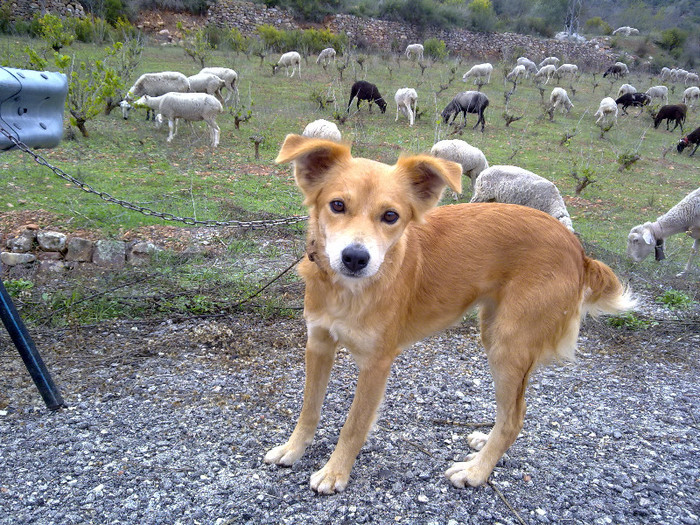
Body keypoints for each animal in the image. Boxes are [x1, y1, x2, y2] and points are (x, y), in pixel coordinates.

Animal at [264, 134, 636, 492]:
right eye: (337, 205)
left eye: (391, 216)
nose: (355, 257)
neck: (347, 292)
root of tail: (578, 250)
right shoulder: (318, 343)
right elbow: (309, 409)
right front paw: (293, 449)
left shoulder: (376, 362)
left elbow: (354, 425)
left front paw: (335, 472)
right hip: (494, 330)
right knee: (511, 411)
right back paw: (485, 443)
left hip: (508, 344)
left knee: (515, 418)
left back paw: (476, 472)